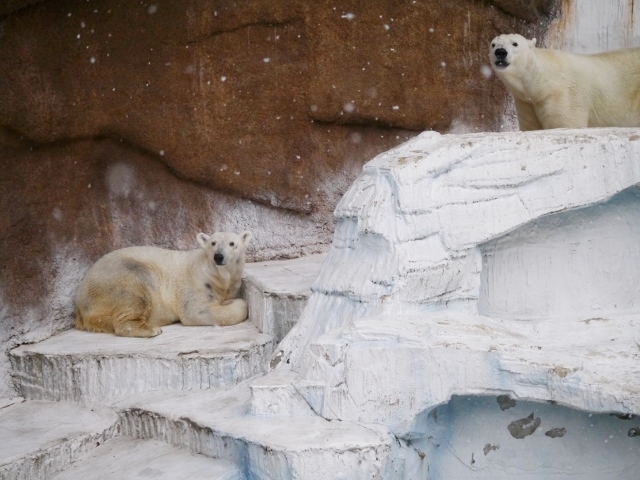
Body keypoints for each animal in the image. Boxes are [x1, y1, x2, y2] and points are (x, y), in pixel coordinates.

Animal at [75, 230, 252, 336]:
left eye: (232, 243)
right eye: (213, 243)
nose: (218, 256)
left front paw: (227, 300)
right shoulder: (196, 285)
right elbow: (196, 311)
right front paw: (238, 303)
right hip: (119, 276)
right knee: (135, 294)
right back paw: (151, 329)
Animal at [490, 32, 640, 130]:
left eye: (515, 43)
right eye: (493, 44)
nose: (500, 52)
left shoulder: (563, 95)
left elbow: (565, 123)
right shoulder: (526, 102)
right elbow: (531, 125)